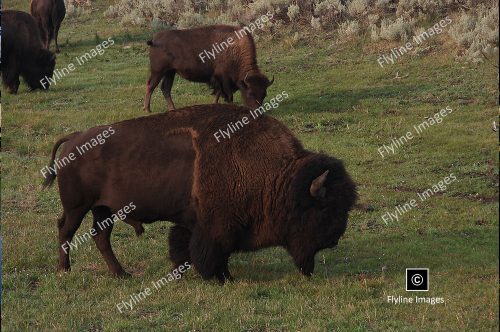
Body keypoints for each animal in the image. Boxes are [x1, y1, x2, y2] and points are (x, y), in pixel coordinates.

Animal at [43, 104, 356, 282]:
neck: (279, 177)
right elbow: (214, 254)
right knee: (66, 231)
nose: (334, 239)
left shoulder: (195, 223)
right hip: (77, 207)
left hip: (103, 210)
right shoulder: (217, 228)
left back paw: (121, 274)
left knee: (100, 237)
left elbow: (185, 246)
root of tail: (75, 138)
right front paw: (222, 278)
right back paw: (64, 270)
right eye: (323, 209)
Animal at [143, 25, 276, 113]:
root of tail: (154, 39)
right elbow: (227, 95)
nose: (257, 111)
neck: (234, 49)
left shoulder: (219, 80)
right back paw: (147, 109)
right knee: (151, 86)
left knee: (165, 88)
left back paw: (172, 109)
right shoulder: (223, 78)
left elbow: (217, 93)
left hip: (170, 72)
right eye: (250, 93)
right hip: (158, 71)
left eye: (264, 94)